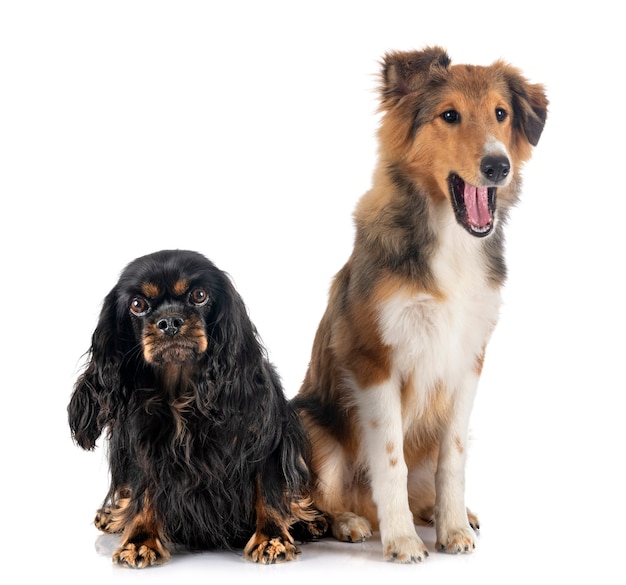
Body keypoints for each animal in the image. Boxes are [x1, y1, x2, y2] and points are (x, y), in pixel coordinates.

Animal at [290, 46, 544, 560]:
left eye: (500, 114)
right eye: (449, 116)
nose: (498, 165)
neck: (451, 240)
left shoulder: (468, 361)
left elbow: (454, 460)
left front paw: (453, 527)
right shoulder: (374, 362)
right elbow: (390, 460)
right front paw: (402, 539)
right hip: (311, 423)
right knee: (323, 498)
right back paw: (351, 521)